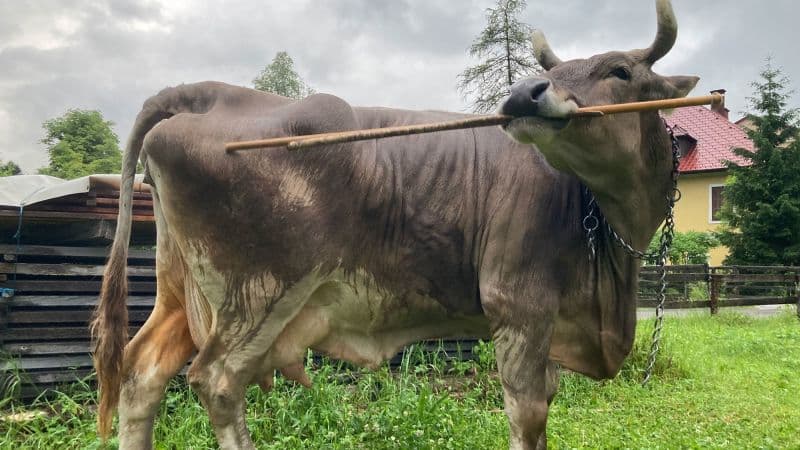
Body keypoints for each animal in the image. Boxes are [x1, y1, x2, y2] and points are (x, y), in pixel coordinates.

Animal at [92, 0, 698, 448]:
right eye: (553, 72)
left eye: (620, 70)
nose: (524, 93)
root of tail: (211, 92)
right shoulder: (519, 307)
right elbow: (527, 417)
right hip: (259, 294)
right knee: (216, 381)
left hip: (182, 292)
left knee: (142, 374)